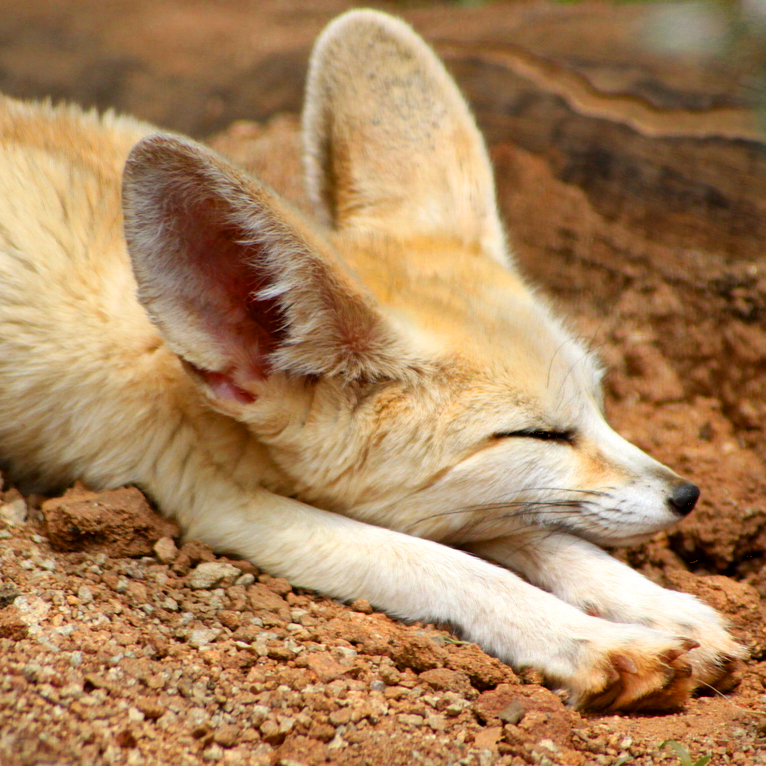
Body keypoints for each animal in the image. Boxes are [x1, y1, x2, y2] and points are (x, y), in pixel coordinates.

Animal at [0, 9, 743, 712]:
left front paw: (658, 607)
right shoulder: (212, 500)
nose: (686, 495)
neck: (171, 359)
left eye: (597, 402)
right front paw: (597, 642)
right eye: (537, 434)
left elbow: (539, 534)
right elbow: (450, 566)